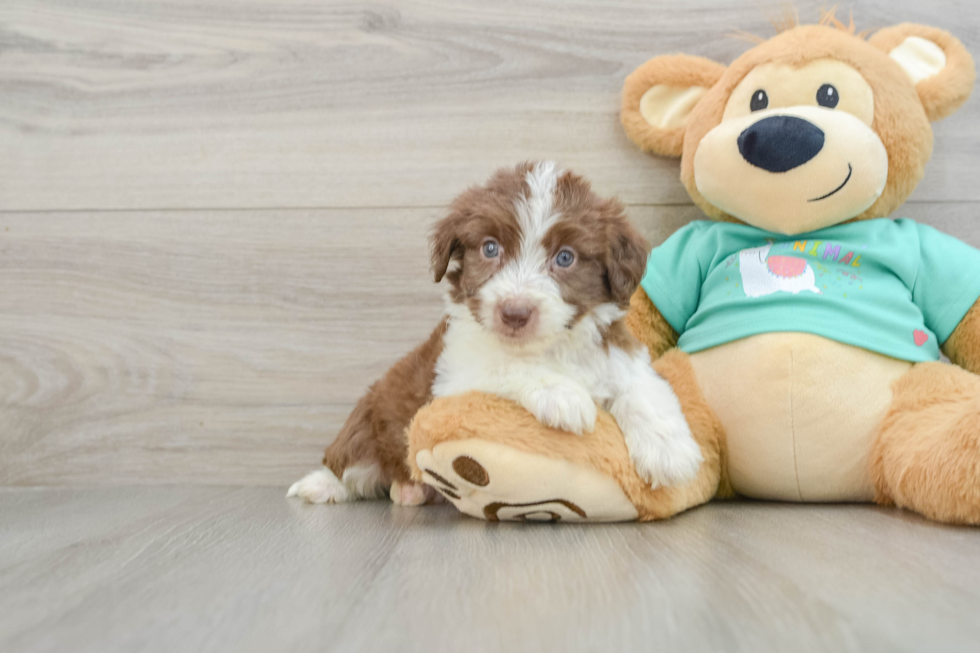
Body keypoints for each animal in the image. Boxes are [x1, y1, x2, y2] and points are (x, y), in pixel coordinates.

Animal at [288, 162, 700, 504]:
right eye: (490, 248)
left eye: (565, 257)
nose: (514, 313)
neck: (546, 347)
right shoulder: (453, 379)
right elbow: (504, 367)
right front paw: (562, 395)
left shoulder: (617, 354)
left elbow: (643, 387)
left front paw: (670, 452)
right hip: (368, 419)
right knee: (349, 462)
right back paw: (322, 485)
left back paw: (410, 489)